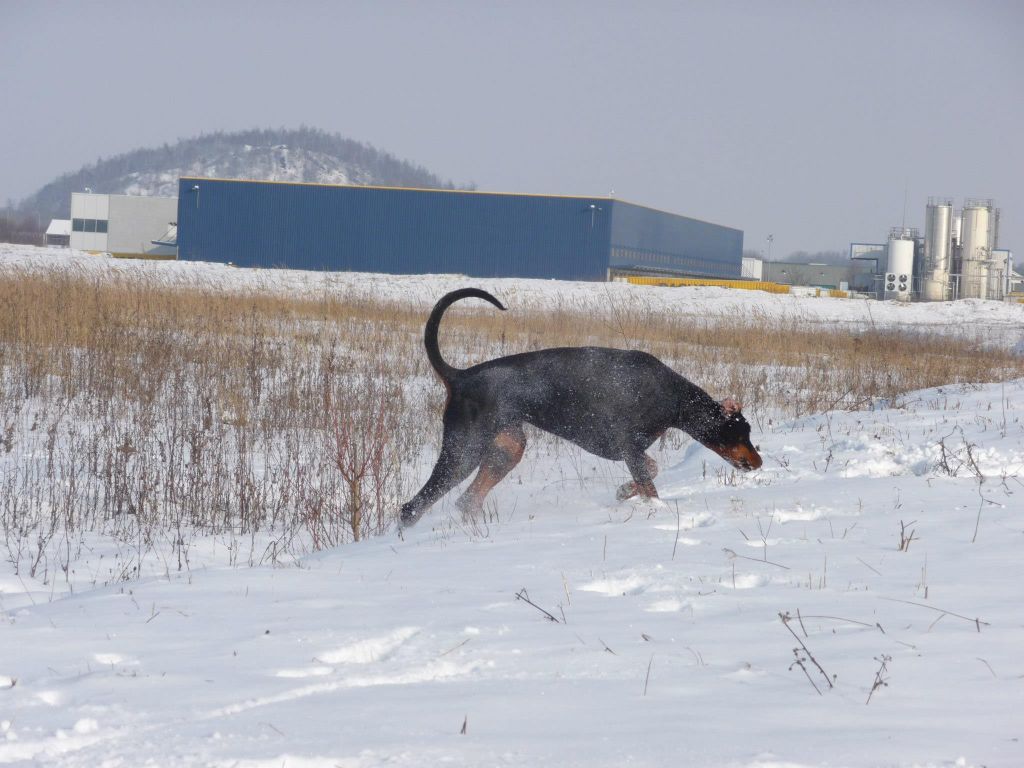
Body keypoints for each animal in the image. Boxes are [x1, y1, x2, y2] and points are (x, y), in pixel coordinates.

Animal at [399, 288, 761, 528]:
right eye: (740, 432)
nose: (758, 462)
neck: (673, 397)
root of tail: (458, 377)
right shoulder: (628, 446)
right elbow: (650, 480)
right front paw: (652, 508)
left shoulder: (632, 451)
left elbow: (650, 470)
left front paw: (624, 491)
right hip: (464, 451)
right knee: (413, 507)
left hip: (507, 448)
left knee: (467, 500)